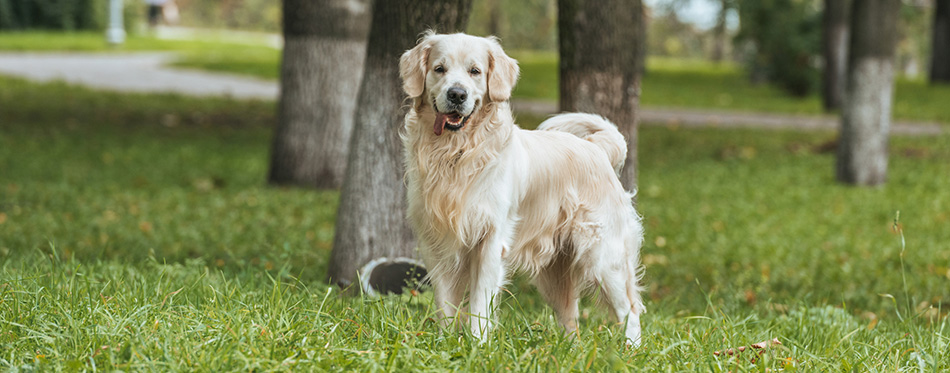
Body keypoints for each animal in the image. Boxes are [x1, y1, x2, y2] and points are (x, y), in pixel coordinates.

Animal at [394, 32, 648, 346]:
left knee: (630, 310)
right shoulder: (436, 243)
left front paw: (478, 345)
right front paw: (445, 344)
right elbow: (445, 303)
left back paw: (630, 350)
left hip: (604, 256)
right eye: (439, 69)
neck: (456, 154)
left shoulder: (491, 240)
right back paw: (569, 349)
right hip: (555, 272)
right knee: (570, 315)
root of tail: (596, 147)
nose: (456, 94)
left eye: (475, 71)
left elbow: (480, 302)